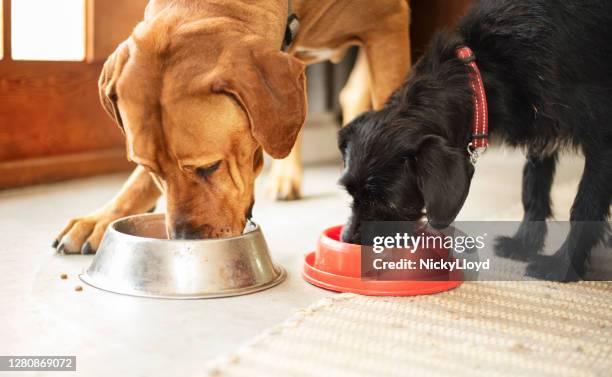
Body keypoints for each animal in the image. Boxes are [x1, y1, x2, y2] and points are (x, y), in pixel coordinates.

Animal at [340, 0, 612, 280]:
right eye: (350, 192)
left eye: (387, 203)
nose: (349, 241)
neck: (487, 68)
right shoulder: (541, 128)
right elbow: (533, 187)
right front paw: (524, 244)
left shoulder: (602, 139)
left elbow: (584, 207)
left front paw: (563, 266)